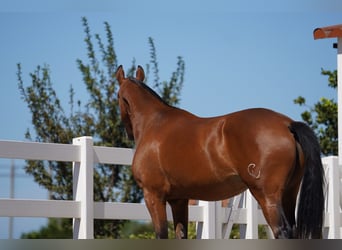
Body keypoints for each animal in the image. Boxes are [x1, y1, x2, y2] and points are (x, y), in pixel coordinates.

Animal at [115, 64, 324, 238]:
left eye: (117, 96)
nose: (128, 133)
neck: (154, 123)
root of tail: (287, 124)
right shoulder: (179, 199)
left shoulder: (153, 196)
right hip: (289, 193)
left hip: (267, 197)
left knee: (282, 231)